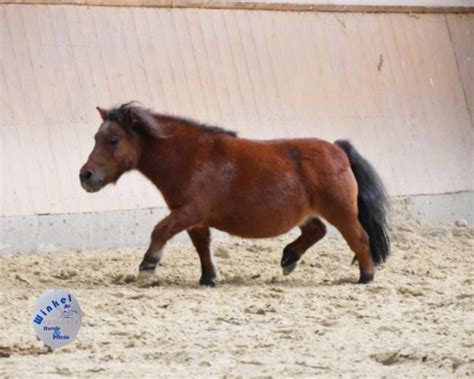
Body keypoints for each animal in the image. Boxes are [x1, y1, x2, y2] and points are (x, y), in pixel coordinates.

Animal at [79, 102, 388, 286]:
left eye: (113, 140)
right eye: (95, 138)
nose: (86, 176)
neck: (189, 157)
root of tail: (338, 149)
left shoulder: (189, 212)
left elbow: (160, 230)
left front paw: (148, 264)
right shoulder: (195, 219)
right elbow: (202, 246)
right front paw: (208, 278)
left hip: (340, 211)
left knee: (360, 238)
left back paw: (366, 277)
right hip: (308, 212)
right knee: (317, 231)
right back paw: (289, 258)